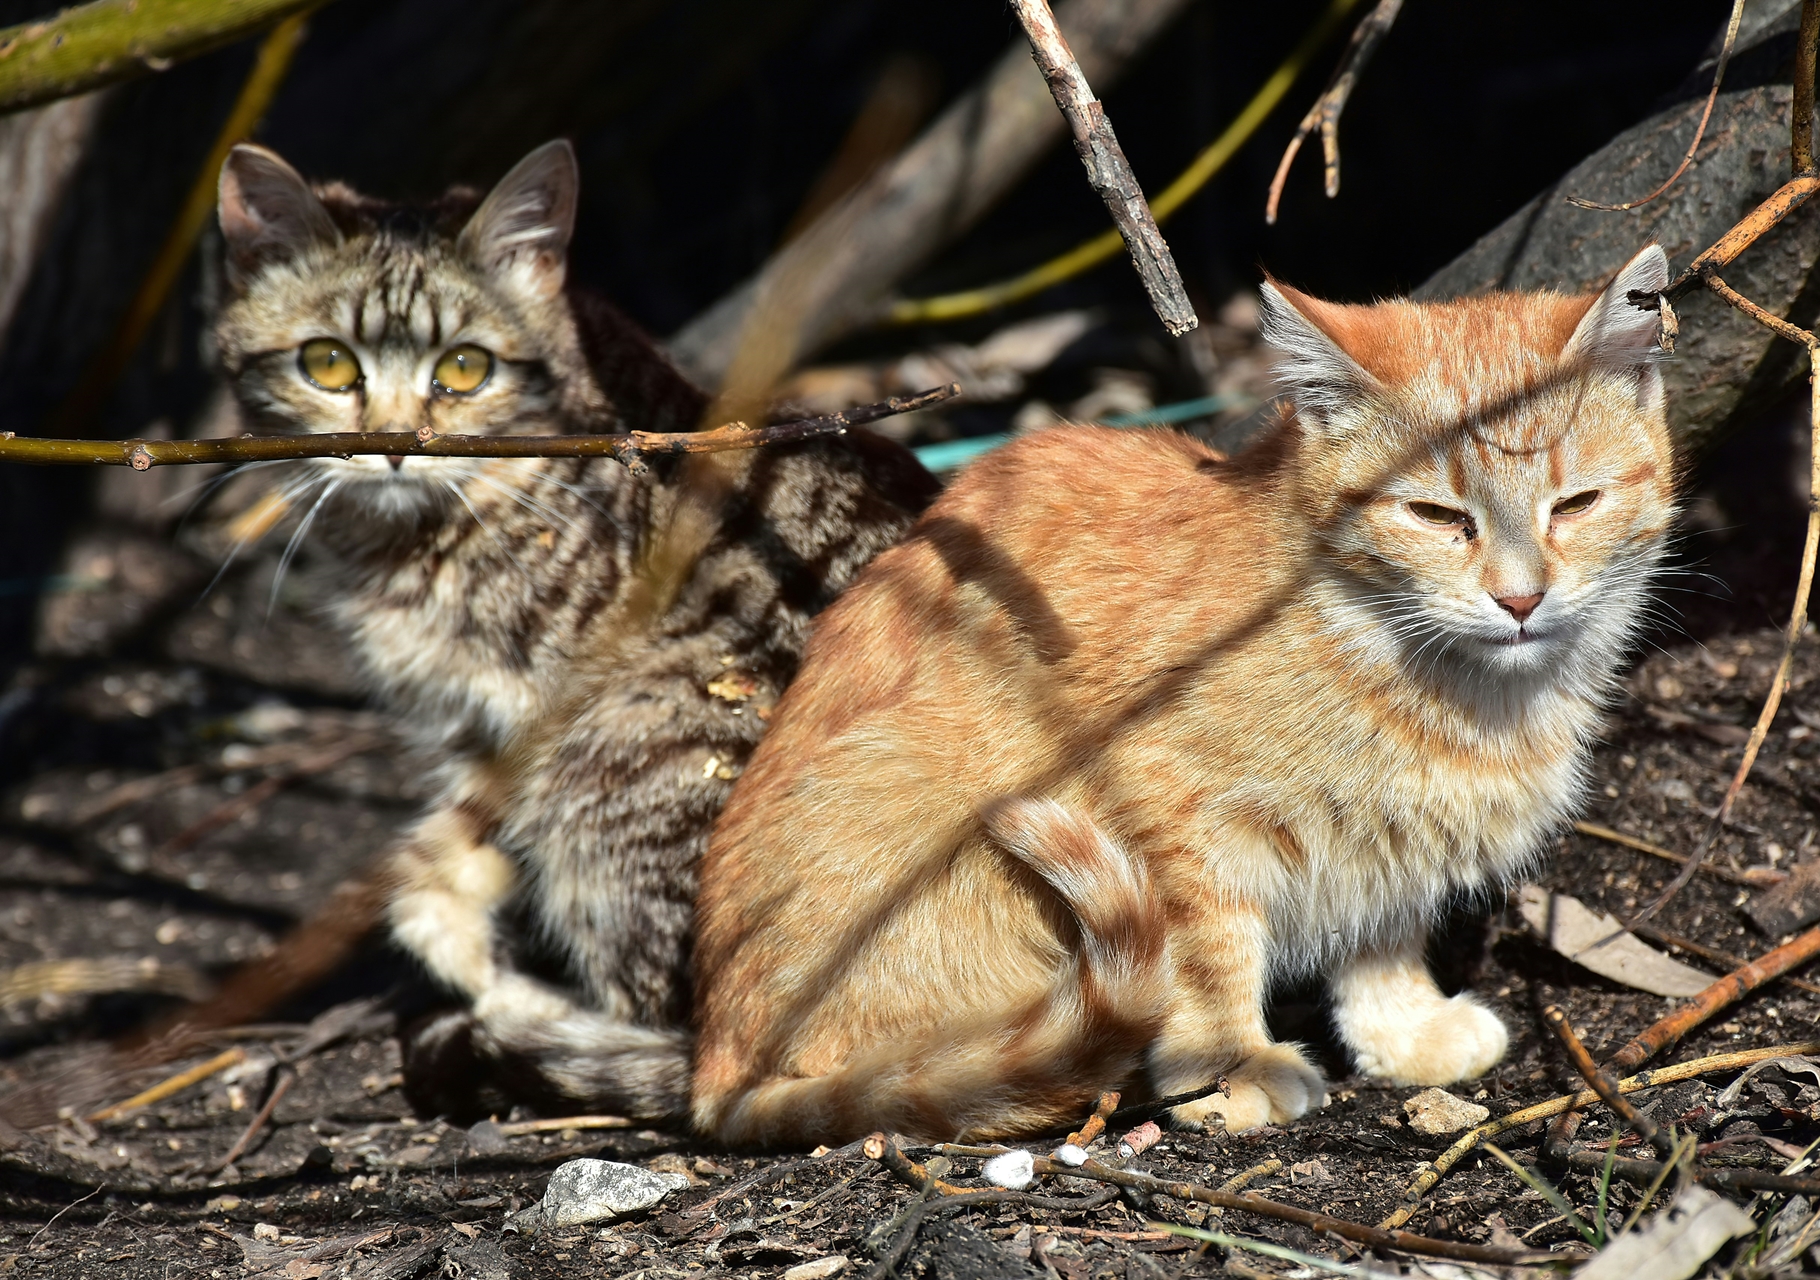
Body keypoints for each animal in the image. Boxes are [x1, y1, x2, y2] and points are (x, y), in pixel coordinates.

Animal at [212, 142, 939, 1121]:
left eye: (465, 369)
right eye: (326, 364)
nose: (396, 443)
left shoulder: (519, 708)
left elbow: (463, 837)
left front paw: (449, 939)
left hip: (619, 750)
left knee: (682, 1040)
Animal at [691, 245, 1674, 1143]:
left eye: (1575, 504)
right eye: (1437, 515)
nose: (1520, 598)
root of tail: (713, 1070)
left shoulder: (1388, 848)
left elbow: (1380, 939)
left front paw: (1402, 1032)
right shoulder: (1166, 809)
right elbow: (1207, 949)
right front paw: (1229, 1065)